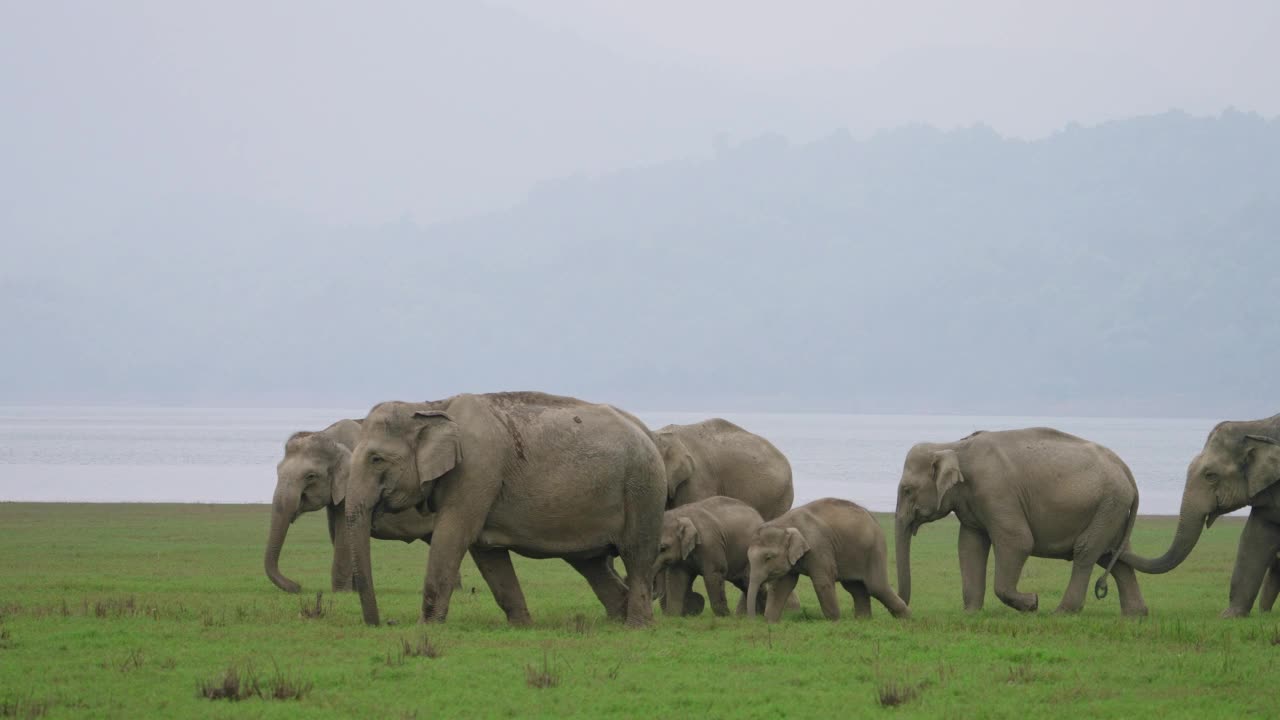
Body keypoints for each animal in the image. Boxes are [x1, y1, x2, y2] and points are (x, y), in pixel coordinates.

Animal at [345, 389, 665, 625]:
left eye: (376, 459)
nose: (382, 623)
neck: (432, 405)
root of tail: (647, 432)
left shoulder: (476, 470)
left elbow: (453, 535)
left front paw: (426, 627)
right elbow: (486, 551)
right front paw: (522, 626)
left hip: (642, 490)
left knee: (637, 555)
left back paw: (637, 625)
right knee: (591, 563)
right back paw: (617, 619)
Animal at [742, 497, 911, 620]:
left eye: (768, 557)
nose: (754, 620)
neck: (784, 523)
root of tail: (873, 517)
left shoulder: (818, 547)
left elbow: (822, 582)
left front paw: (835, 621)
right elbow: (781, 586)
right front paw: (770, 622)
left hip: (875, 549)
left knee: (876, 586)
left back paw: (907, 620)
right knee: (856, 588)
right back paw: (863, 621)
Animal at [890, 425, 1152, 617]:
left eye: (907, 490)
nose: (906, 607)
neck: (953, 446)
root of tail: (1125, 469)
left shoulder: (996, 492)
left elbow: (1018, 542)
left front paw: (1032, 603)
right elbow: (969, 546)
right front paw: (971, 613)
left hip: (1109, 505)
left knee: (1086, 551)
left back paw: (1062, 613)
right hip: (1112, 510)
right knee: (1115, 556)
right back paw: (1135, 615)